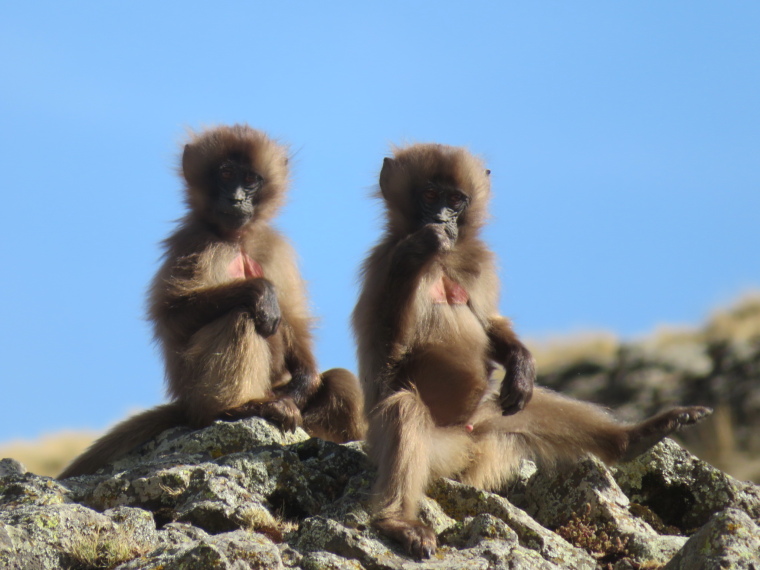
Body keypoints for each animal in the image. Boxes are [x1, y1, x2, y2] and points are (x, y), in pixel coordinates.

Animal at [60, 125, 364, 480]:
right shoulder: (196, 244)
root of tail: (187, 406)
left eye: (250, 179)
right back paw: (235, 407)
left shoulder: (274, 247)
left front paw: (304, 383)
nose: (236, 199)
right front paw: (261, 292)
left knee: (341, 380)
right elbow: (174, 315)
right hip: (198, 395)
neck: (236, 240)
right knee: (241, 318)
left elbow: (292, 319)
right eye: (226, 174)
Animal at [350, 142, 712, 556]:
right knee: (404, 410)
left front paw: (521, 365)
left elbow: (489, 325)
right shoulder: (381, 265)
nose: (443, 219)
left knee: (531, 406)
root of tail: (462, 441)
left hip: (483, 428)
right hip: (424, 447)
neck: (444, 264)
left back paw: (634, 439)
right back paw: (399, 522)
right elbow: (387, 361)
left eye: (455, 200)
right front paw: (416, 250)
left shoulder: (480, 265)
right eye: (429, 195)